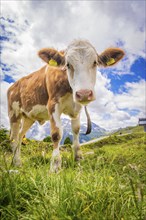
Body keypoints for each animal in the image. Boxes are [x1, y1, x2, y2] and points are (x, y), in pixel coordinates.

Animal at [7, 40, 125, 173]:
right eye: (67, 64)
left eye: (95, 62)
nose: (84, 93)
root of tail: (13, 85)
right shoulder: (53, 105)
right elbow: (56, 134)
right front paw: (55, 166)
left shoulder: (77, 108)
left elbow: (76, 130)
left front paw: (78, 159)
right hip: (14, 113)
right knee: (13, 138)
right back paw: (16, 163)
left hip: (28, 117)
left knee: (20, 136)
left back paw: (17, 162)